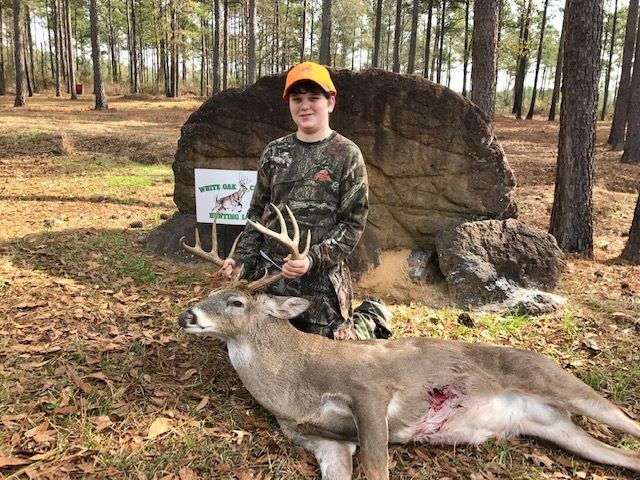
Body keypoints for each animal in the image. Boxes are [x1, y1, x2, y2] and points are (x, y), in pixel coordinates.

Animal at [178, 205, 640, 480]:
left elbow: (377, 467)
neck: (296, 386)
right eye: (210, 294)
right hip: (552, 424)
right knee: (629, 456)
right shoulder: (319, 439)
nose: (188, 315)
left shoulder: (370, 389)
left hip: (558, 381)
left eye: (236, 301)